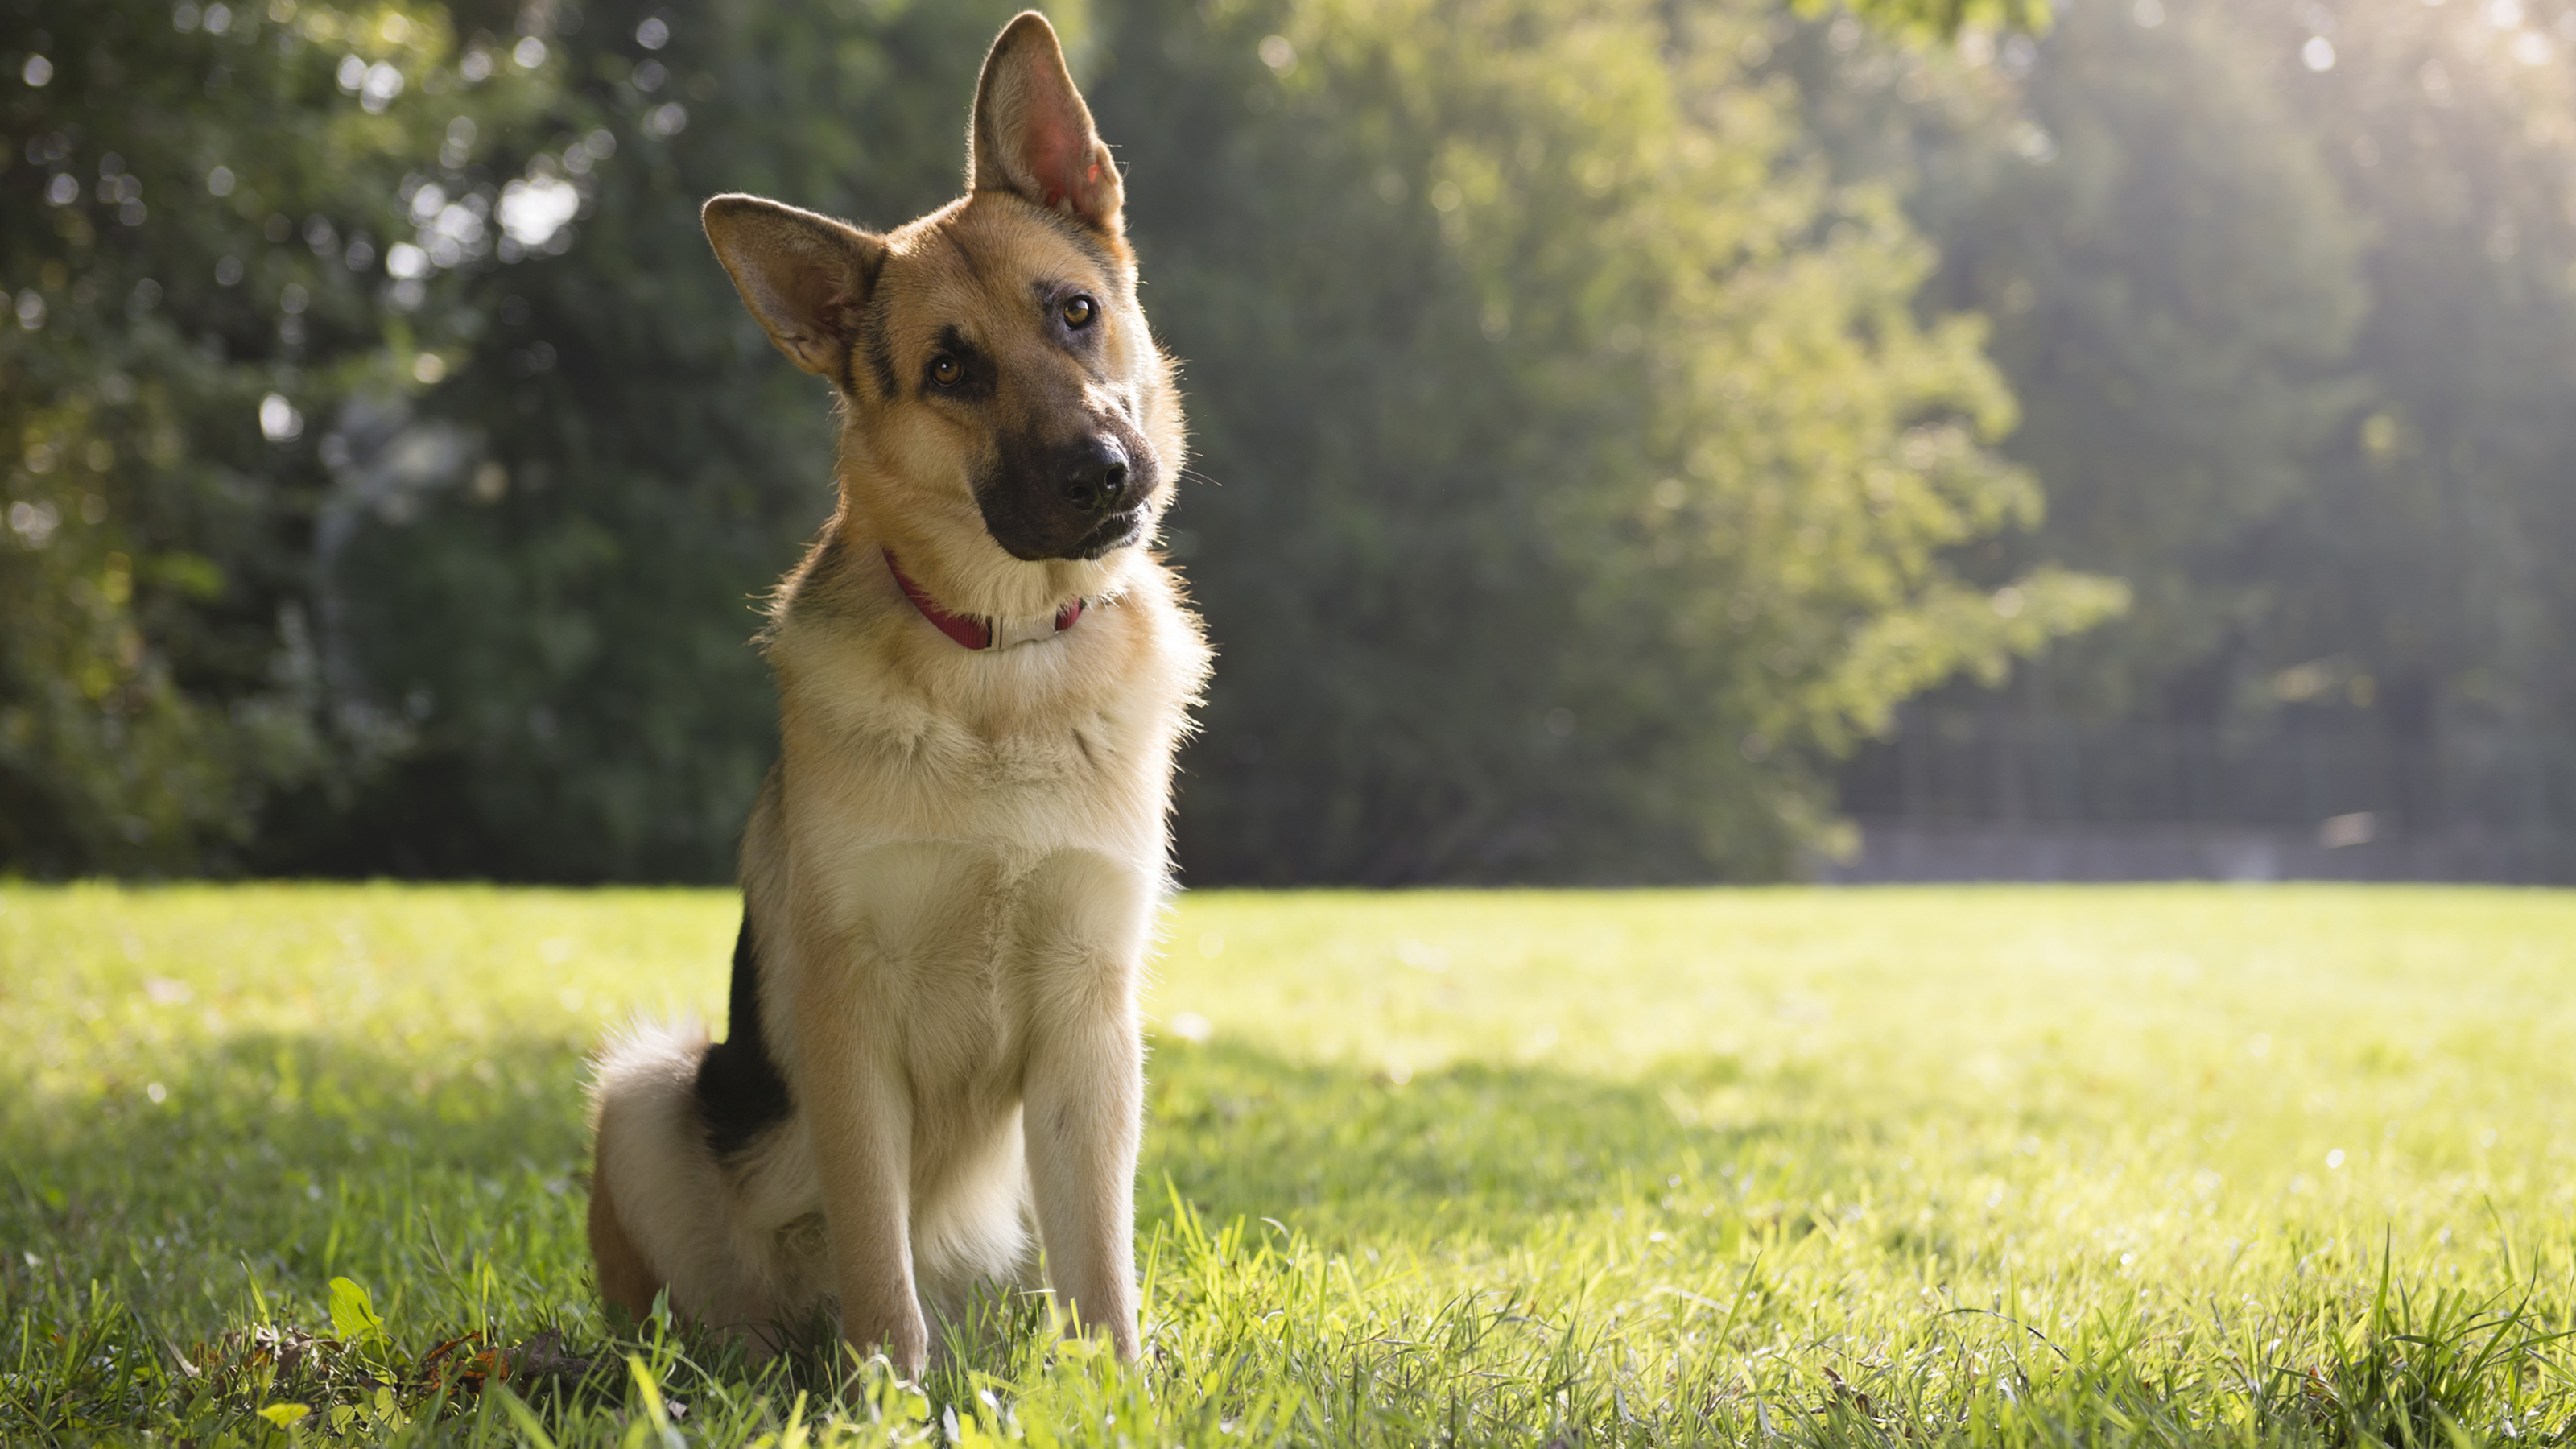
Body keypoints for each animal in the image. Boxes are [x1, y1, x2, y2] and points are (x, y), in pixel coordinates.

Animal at [589, 6, 1211, 1371]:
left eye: (1075, 312)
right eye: (950, 371)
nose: (1102, 474)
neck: (1002, 661)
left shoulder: (1091, 1025)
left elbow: (1104, 1268)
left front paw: (1121, 1390)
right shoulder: (847, 1021)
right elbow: (879, 1253)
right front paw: (884, 1392)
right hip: (648, 1091)